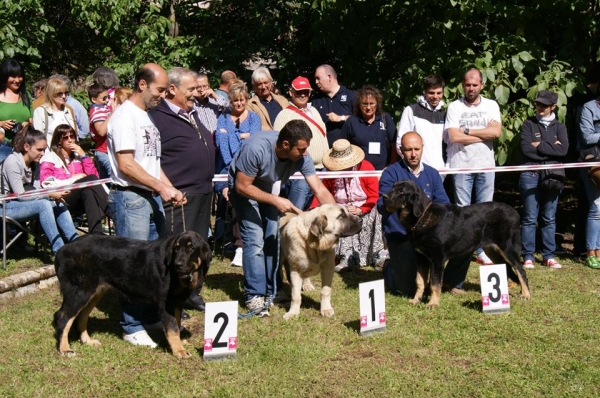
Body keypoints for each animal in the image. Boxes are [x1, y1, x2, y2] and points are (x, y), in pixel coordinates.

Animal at [52, 230, 211, 358]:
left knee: (81, 317)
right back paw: (64, 349)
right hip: (79, 293)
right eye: (176, 248)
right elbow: (172, 328)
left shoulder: (176, 303)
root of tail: (61, 250)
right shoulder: (166, 305)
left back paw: (88, 341)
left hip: (93, 293)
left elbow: (176, 326)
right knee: (63, 318)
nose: (177, 265)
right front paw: (179, 350)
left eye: (191, 248)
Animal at [384, 180, 528, 308]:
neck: (421, 219)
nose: (384, 196)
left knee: (520, 270)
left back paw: (526, 294)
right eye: (393, 187)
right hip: (492, 251)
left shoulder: (437, 259)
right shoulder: (421, 258)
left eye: (401, 191)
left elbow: (434, 284)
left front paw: (433, 304)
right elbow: (420, 281)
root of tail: (515, 212)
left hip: (508, 249)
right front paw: (416, 300)